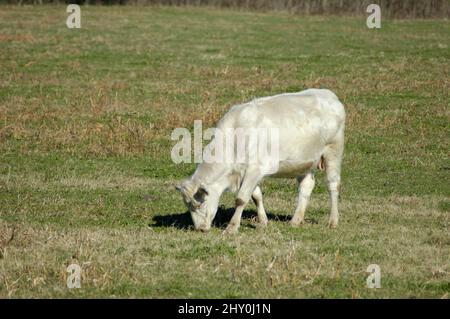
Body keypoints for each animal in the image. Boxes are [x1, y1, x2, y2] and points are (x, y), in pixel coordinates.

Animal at [176, 89, 344, 234]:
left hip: (333, 151)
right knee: (306, 186)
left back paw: (333, 221)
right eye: (188, 206)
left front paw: (232, 227)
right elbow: (256, 196)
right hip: (304, 161)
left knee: (333, 185)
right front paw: (263, 221)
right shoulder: (248, 172)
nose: (200, 228)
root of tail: (329, 95)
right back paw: (295, 220)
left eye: (200, 203)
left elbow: (241, 198)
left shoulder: (255, 168)